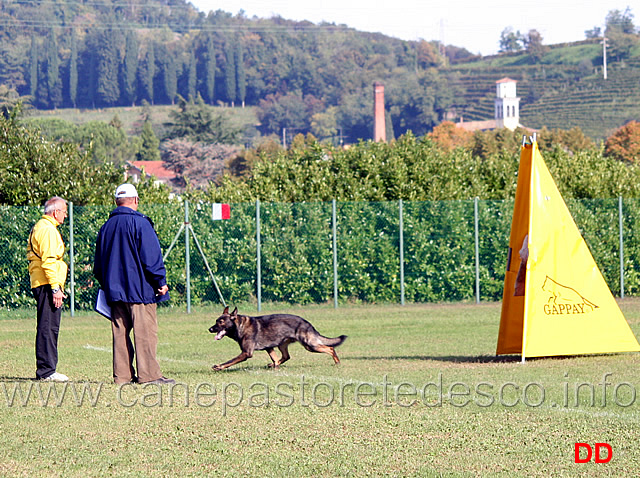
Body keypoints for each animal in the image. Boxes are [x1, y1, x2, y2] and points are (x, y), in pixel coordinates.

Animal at [208, 308, 348, 372]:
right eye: (216, 321)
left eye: (221, 322)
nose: (210, 329)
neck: (239, 325)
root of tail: (307, 323)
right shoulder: (269, 348)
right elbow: (275, 359)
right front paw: (275, 366)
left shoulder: (246, 353)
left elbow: (230, 361)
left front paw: (219, 367)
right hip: (282, 345)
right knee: (286, 356)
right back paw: (273, 365)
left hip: (309, 345)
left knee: (330, 348)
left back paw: (337, 363)